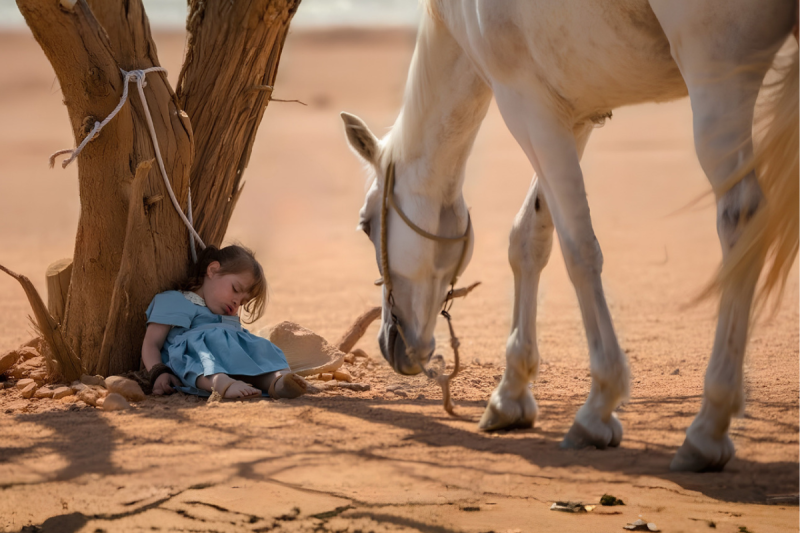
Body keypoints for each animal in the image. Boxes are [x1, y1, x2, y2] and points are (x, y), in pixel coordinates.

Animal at [340, 0, 798, 472]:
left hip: (718, 75)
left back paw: (708, 427)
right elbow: (528, 238)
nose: (389, 341)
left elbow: (579, 251)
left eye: (366, 225)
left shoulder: (527, 107)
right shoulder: (572, 115)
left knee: (741, 219)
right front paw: (511, 393)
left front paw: (598, 408)